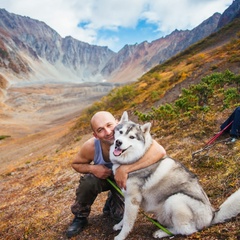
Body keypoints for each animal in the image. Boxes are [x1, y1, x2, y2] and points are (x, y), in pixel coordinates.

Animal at [109, 111, 240, 239]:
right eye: (120, 132)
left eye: (131, 137)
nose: (118, 142)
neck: (135, 159)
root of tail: (212, 215)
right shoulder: (127, 198)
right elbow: (124, 218)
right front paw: (119, 225)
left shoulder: (133, 199)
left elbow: (128, 222)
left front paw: (121, 236)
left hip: (175, 200)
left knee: (186, 230)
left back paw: (162, 233)